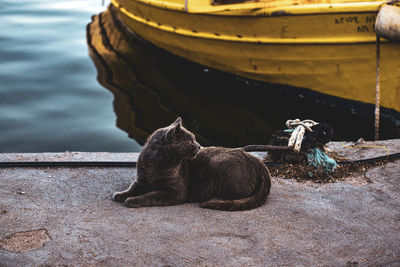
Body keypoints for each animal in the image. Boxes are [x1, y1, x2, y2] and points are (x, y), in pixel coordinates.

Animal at [111, 117, 270, 211]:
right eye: (191, 141)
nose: (199, 146)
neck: (156, 164)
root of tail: (259, 163)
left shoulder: (174, 192)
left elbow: (150, 195)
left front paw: (132, 200)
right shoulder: (140, 180)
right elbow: (132, 188)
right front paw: (120, 195)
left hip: (219, 165)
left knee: (237, 195)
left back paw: (214, 199)